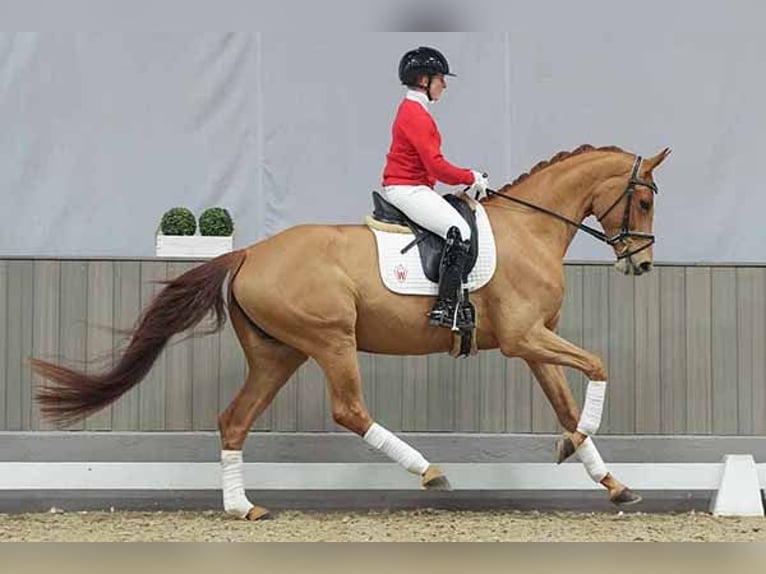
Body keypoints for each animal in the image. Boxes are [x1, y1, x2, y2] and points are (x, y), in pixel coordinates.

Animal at [33, 145, 672, 520]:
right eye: (642, 200)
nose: (641, 265)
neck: (528, 230)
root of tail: (246, 253)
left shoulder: (534, 341)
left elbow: (566, 402)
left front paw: (609, 480)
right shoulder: (522, 339)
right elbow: (599, 366)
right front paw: (579, 451)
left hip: (279, 354)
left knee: (234, 420)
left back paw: (243, 508)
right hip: (330, 340)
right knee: (349, 409)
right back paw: (429, 471)